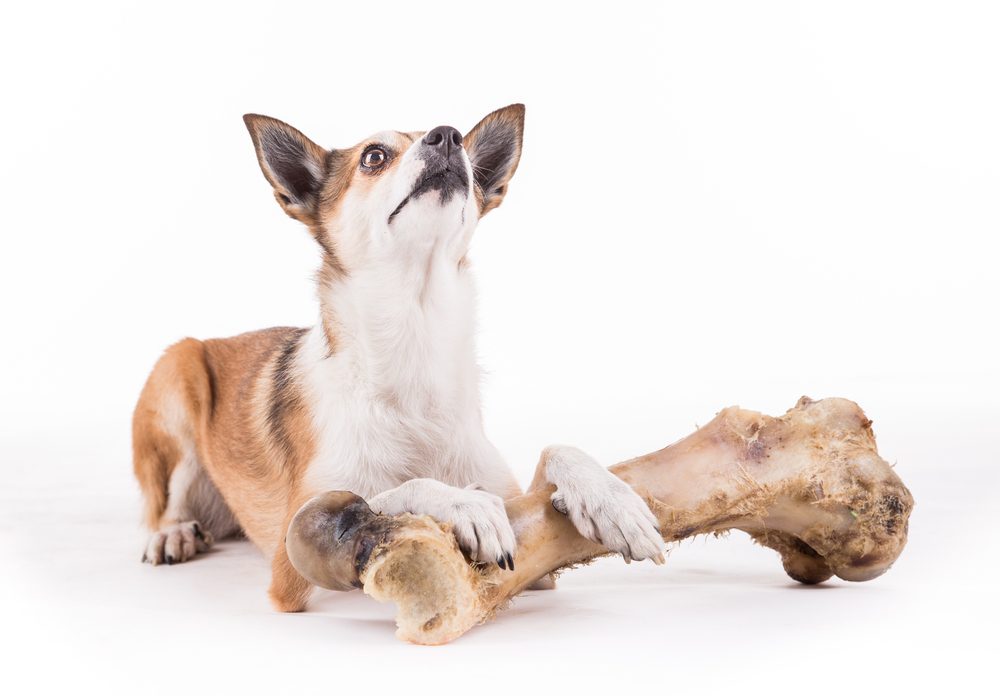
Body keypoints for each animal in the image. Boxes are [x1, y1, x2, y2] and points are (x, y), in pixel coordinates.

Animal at [131, 106, 664, 612]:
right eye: (374, 156)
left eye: (463, 148)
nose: (448, 136)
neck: (414, 333)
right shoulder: (293, 557)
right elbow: (383, 495)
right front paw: (463, 504)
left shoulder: (537, 554)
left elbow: (556, 450)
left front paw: (613, 500)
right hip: (178, 368)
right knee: (163, 502)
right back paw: (172, 533)